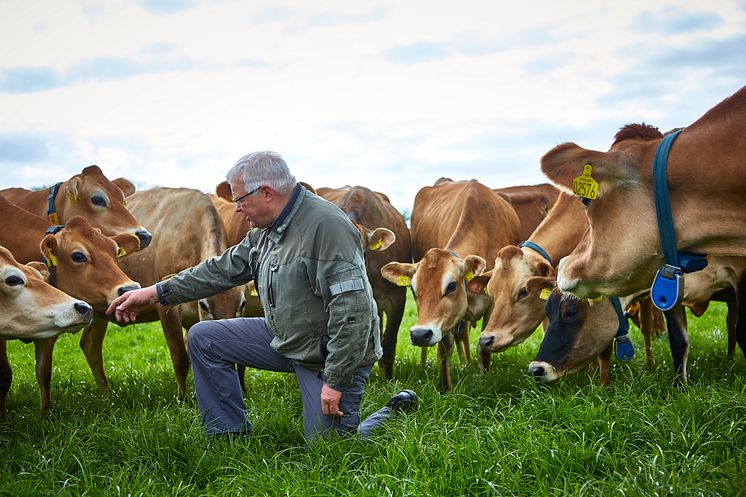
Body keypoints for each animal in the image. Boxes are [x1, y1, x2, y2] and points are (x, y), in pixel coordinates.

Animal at [81, 188, 246, 398]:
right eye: (204, 305)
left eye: (242, 304)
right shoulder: (167, 308)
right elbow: (180, 358)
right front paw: (183, 399)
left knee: (90, 346)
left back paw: (105, 394)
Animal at [380, 178, 520, 392]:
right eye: (413, 288)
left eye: (452, 286)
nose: (419, 334)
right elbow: (445, 346)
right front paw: (446, 387)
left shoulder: (494, 306)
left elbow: (484, 344)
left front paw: (484, 379)